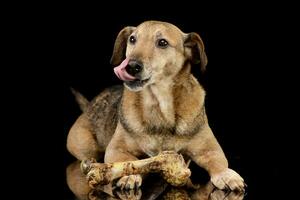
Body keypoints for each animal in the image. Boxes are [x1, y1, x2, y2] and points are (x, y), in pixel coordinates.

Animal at [67, 20, 246, 191]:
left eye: (162, 42)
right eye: (132, 39)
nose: (131, 66)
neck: (158, 104)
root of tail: (89, 106)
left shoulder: (209, 149)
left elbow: (219, 162)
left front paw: (227, 175)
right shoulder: (116, 149)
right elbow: (127, 161)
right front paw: (128, 175)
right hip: (87, 147)